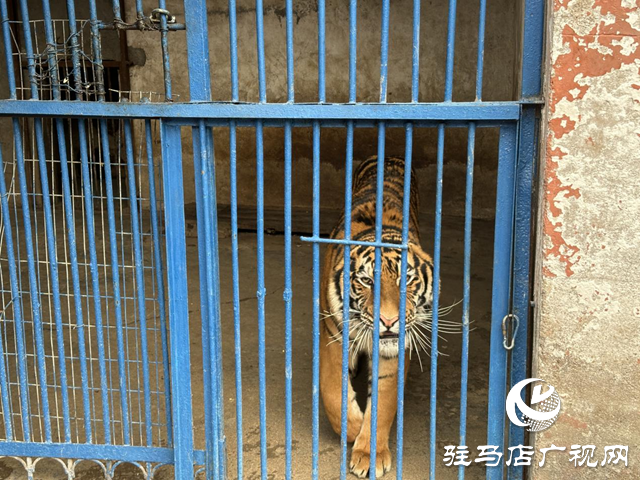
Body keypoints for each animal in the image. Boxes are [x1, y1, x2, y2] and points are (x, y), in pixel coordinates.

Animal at [320, 157, 436, 476]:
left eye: (406, 280)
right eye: (367, 281)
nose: (389, 321)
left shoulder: (392, 353)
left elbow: (383, 403)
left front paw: (368, 452)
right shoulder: (333, 337)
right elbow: (332, 392)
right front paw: (353, 427)